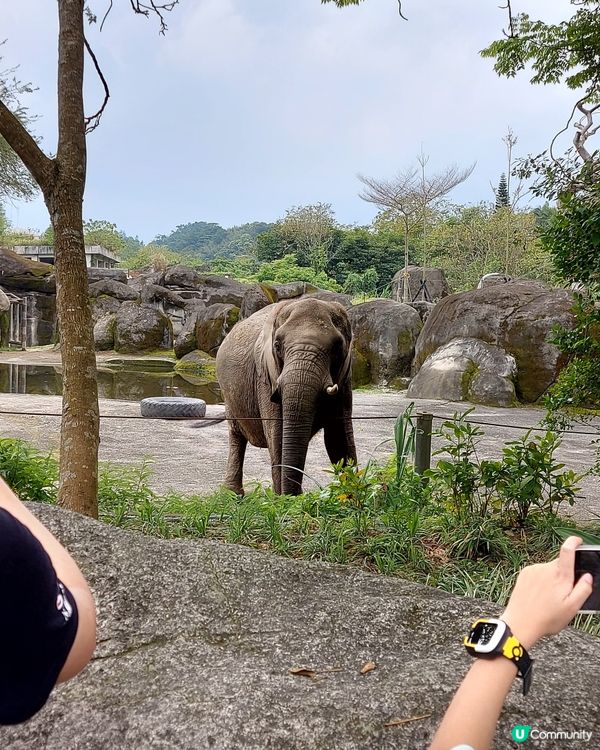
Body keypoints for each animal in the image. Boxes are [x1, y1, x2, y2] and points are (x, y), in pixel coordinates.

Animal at [216, 296, 356, 496]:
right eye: (277, 346)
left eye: (337, 348)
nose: (295, 495)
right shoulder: (265, 376)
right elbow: (277, 434)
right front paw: (284, 499)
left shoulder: (345, 379)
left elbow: (338, 438)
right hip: (229, 395)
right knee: (236, 436)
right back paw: (232, 495)